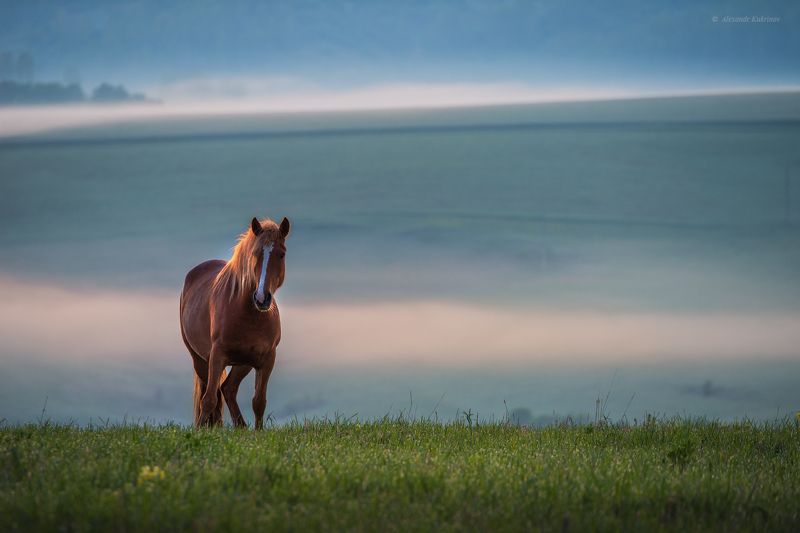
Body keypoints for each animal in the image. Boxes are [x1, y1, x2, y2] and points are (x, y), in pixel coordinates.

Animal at [179, 216, 291, 428]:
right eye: (255, 253)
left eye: (281, 254)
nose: (262, 298)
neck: (249, 315)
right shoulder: (217, 356)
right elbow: (208, 400)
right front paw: (199, 432)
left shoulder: (267, 360)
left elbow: (259, 402)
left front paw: (257, 432)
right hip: (200, 359)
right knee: (212, 392)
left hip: (243, 362)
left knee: (228, 388)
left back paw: (239, 426)